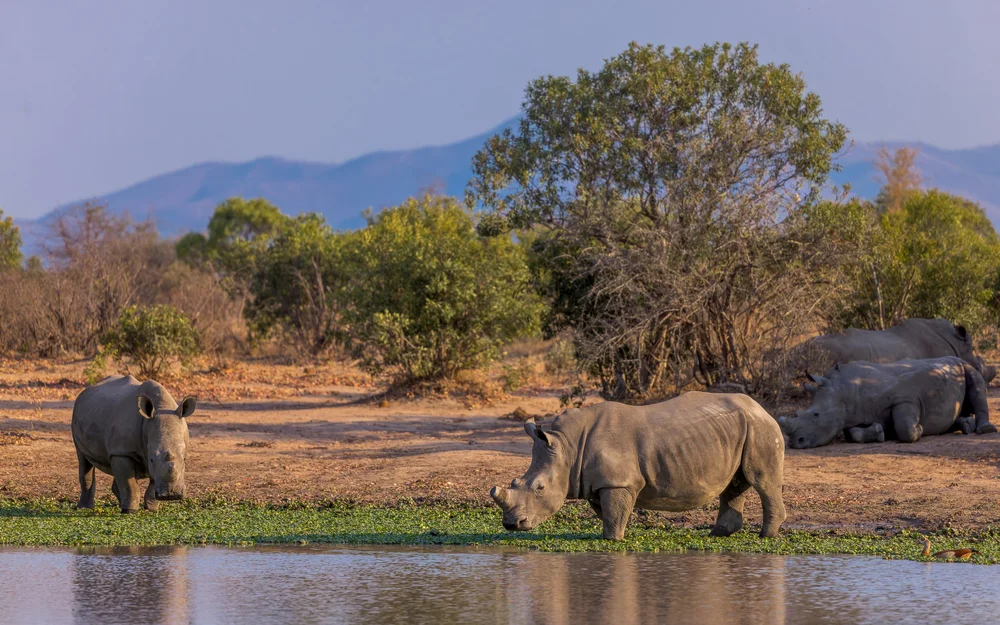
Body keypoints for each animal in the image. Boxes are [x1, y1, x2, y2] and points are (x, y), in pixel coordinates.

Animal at [71, 375, 196, 513]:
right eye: (151, 459)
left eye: (185, 459)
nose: (171, 495)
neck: (162, 408)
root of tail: (85, 391)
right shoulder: (123, 452)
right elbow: (129, 484)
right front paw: (130, 511)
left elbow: (151, 483)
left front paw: (151, 509)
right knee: (83, 459)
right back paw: (85, 508)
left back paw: (121, 504)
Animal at [490, 392, 787, 540]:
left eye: (540, 488)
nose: (511, 525)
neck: (568, 447)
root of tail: (760, 407)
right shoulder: (599, 483)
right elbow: (608, 513)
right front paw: (613, 534)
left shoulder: (618, 482)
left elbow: (613, 514)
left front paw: (612, 540)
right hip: (741, 428)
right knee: (735, 484)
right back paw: (718, 535)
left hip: (760, 427)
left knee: (763, 481)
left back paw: (765, 537)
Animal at [779, 357, 997, 449]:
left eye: (816, 415)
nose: (794, 443)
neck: (843, 391)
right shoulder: (851, 414)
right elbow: (852, 433)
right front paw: (879, 432)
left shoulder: (906, 399)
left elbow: (905, 427)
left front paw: (919, 429)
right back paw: (966, 425)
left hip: (964, 365)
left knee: (976, 383)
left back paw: (984, 430)